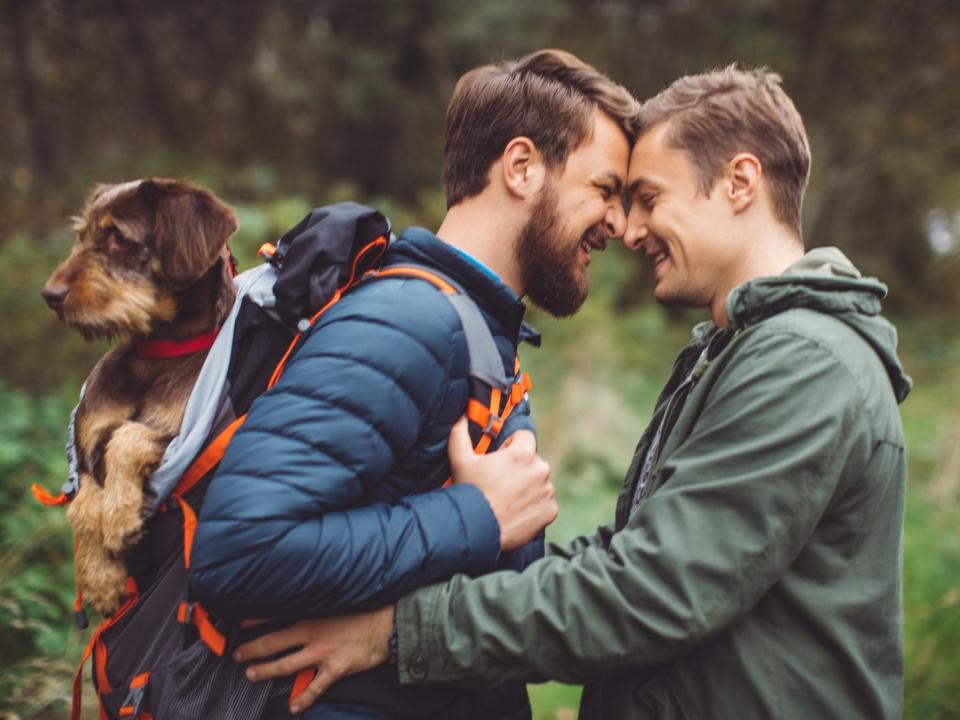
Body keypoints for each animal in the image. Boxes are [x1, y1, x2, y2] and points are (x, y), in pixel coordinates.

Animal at [43, 179, 240, 612]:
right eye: (81, 235)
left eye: (118, 237)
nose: (50, 294)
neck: (155, 357)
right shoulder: (83, 453)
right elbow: (80, 506)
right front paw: (99, 578)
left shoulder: (187, 436)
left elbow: (129, 437)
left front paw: (118, 518)